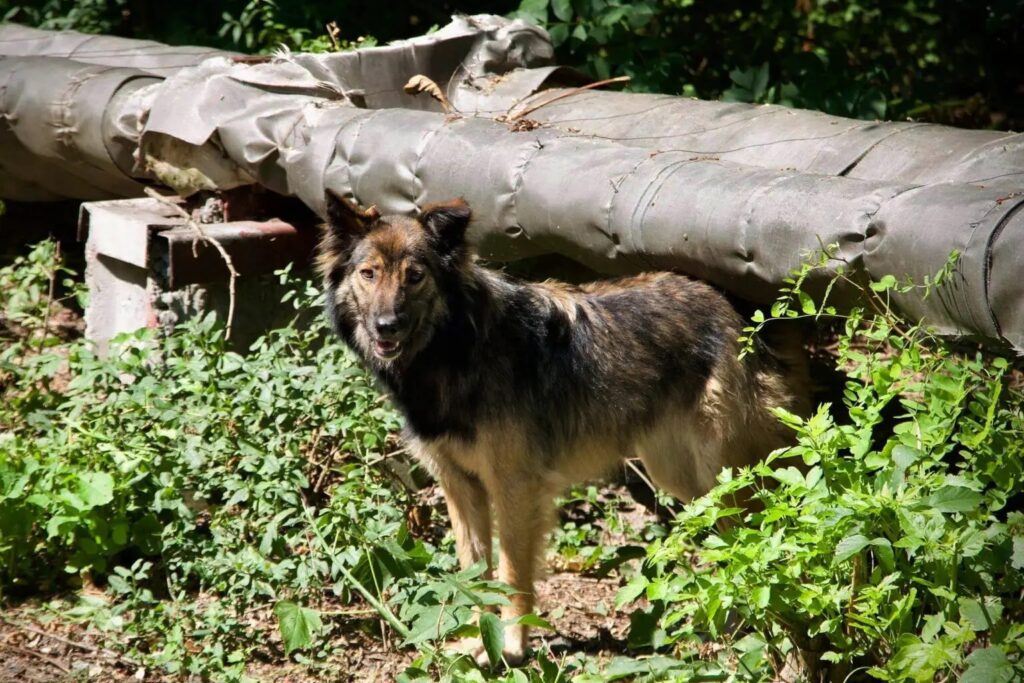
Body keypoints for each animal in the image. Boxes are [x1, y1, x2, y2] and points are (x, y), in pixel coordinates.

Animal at [315, 191, 811, 667]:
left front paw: (512, 648)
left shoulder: (515, 486)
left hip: (723, 477)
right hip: (681, 476)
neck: (453, 348)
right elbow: (474, 573)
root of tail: (736, 312)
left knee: (766, 533)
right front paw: (476, 642)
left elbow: (513, 573)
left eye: (415, 276)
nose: (386, 326)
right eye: (369, 274)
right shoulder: (460, 486)